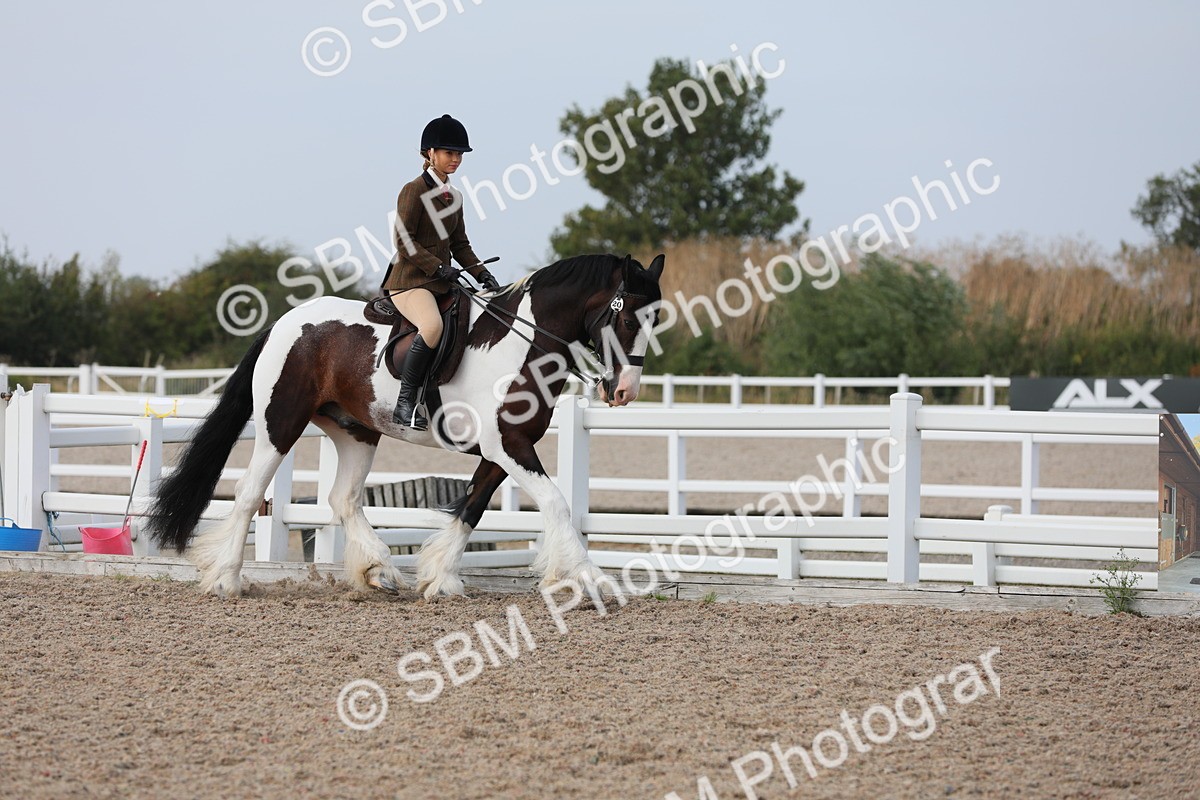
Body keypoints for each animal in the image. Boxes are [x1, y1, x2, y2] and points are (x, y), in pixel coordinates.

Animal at [146, 253, 665, 599]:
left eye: (654, 318)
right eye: (626, 316)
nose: (624, 391)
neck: (522, 345)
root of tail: (282, 325)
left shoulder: (502, 451)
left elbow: (471, 509)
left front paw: (440, 578)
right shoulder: (509, 445)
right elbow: (557, 504)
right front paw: (590, 577)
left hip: (356, 431)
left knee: (343, 499)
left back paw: (379, 571)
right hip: (281, 423)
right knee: (251, 492)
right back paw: (226, 580)